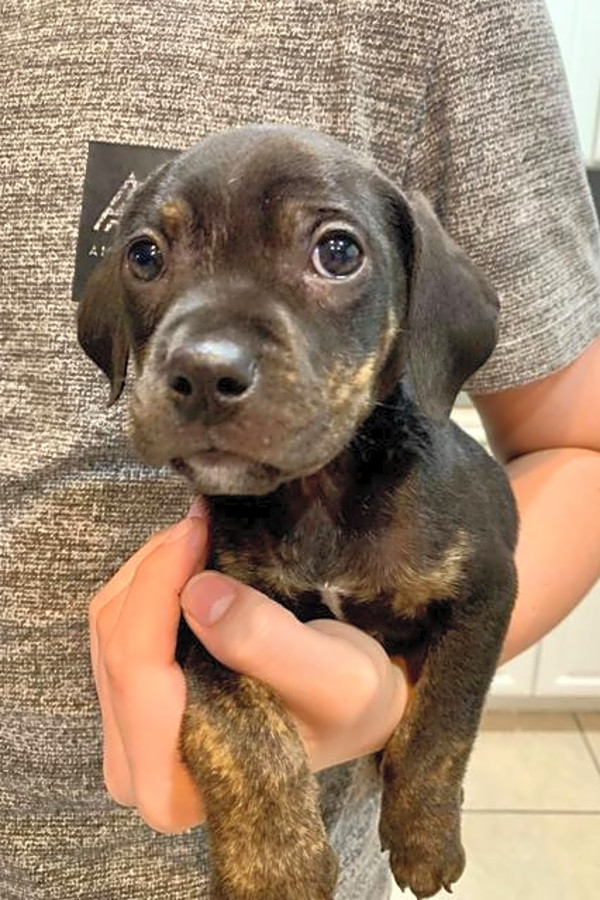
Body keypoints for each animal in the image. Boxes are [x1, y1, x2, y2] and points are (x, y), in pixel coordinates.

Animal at [77, 125, 516, 900]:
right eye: (144, 255)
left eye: (338, 252)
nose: (204, 372)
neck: (320, 496)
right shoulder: (206, 611)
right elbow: (241, 732)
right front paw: (274, 867)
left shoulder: (486, 593)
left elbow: (443, 722)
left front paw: (425, 837)